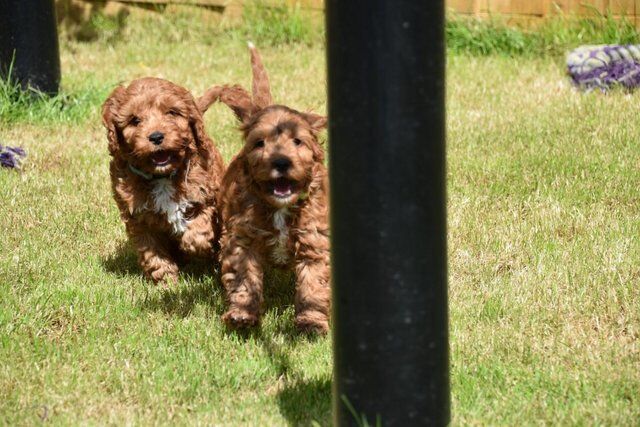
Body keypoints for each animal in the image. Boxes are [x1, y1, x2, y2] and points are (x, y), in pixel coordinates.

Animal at [102, 77, 225, 284]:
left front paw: (193, 244)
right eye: (134, 120)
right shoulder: (139, 218)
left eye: (172, 112)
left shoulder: (206, 194)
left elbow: (199, 229)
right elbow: (152, 252)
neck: (162, 176)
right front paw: (166, 282)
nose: (156, 136)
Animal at [199, 45, 330, 336]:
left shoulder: (313, 238)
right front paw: (242, 314)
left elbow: (313, 282)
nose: (281, 162)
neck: (280, 207)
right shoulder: (243, 238)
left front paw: (312, 322)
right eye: (260, 143)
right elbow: (244, 277)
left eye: (297, 141)